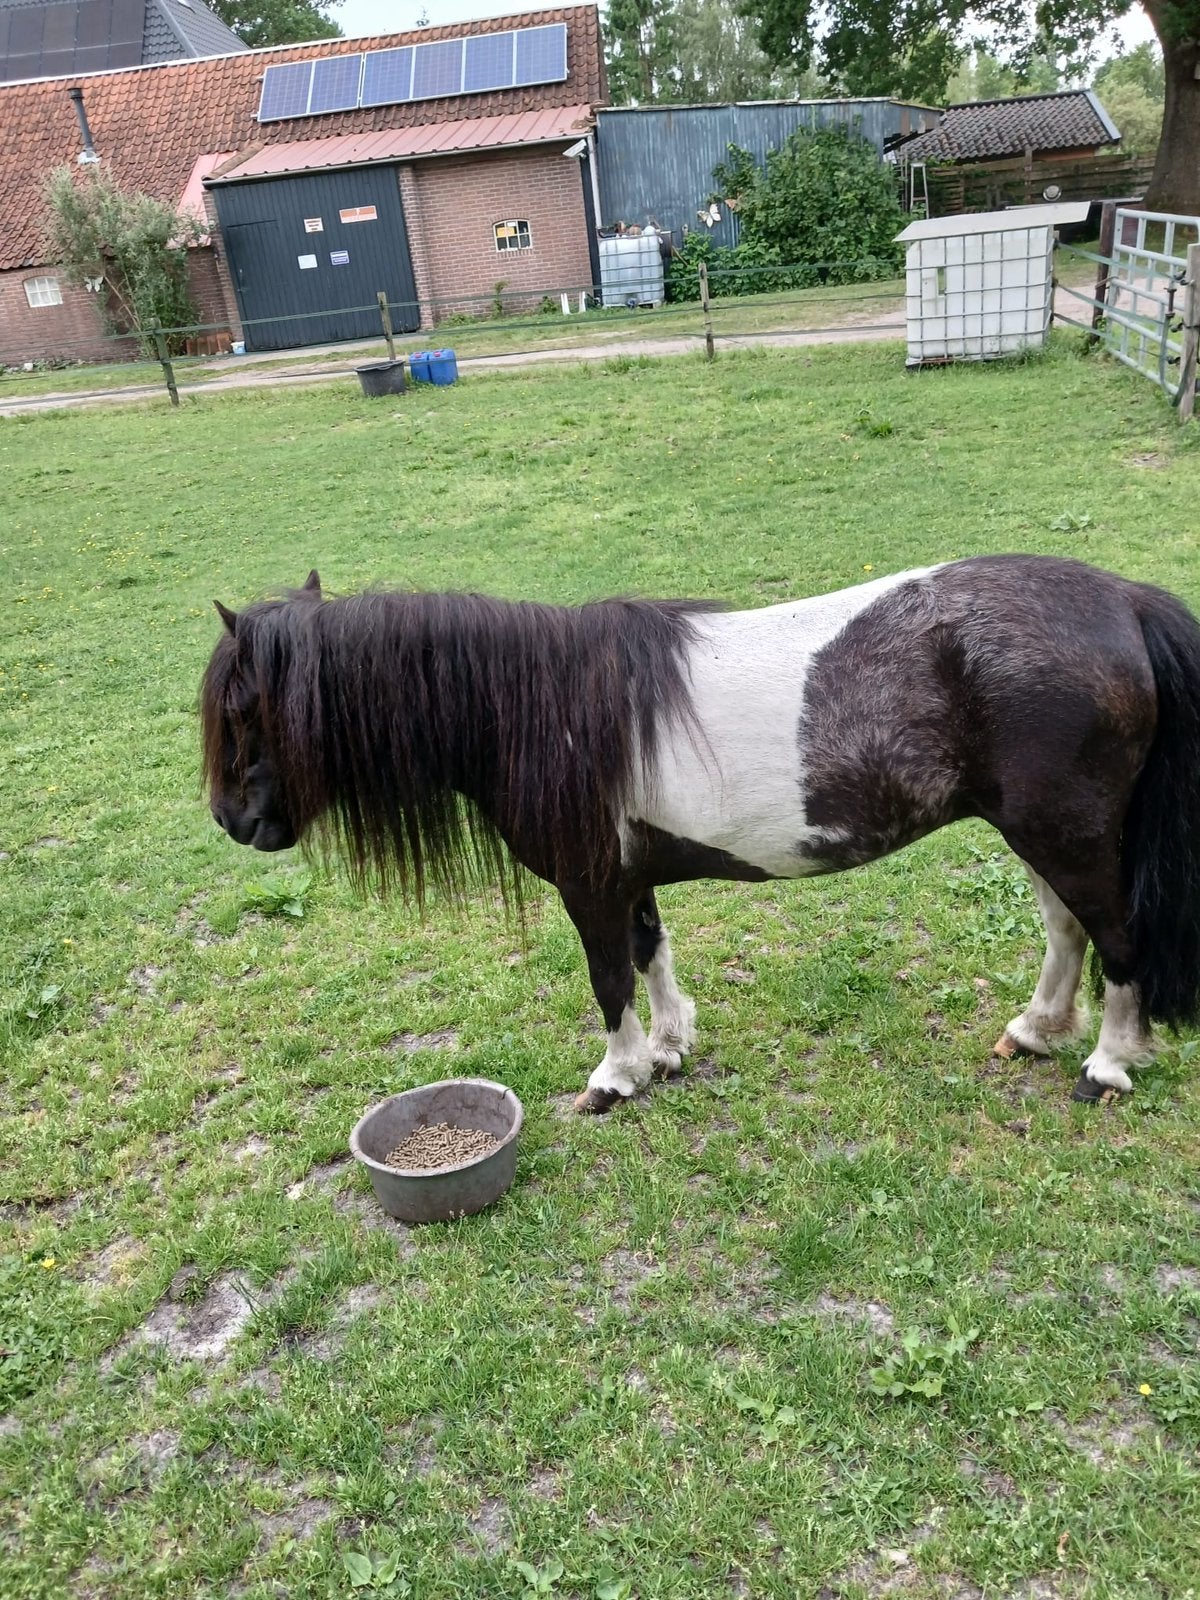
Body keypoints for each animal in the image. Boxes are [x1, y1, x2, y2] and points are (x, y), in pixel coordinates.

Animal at [200, 556, 1200, 1113]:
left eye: (246, 711)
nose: (232, 820)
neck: (540, 710)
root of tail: (1124, 602)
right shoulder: (628, 876)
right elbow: (651, 953)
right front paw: (670, 1048)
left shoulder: (588, 886)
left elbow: (609, 978)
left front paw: (617, 1077)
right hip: (1040, 834)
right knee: (1067, 930)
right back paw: (1034, 1032)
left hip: (1066, 833)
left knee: (1115, 938)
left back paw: (1108, 1066)